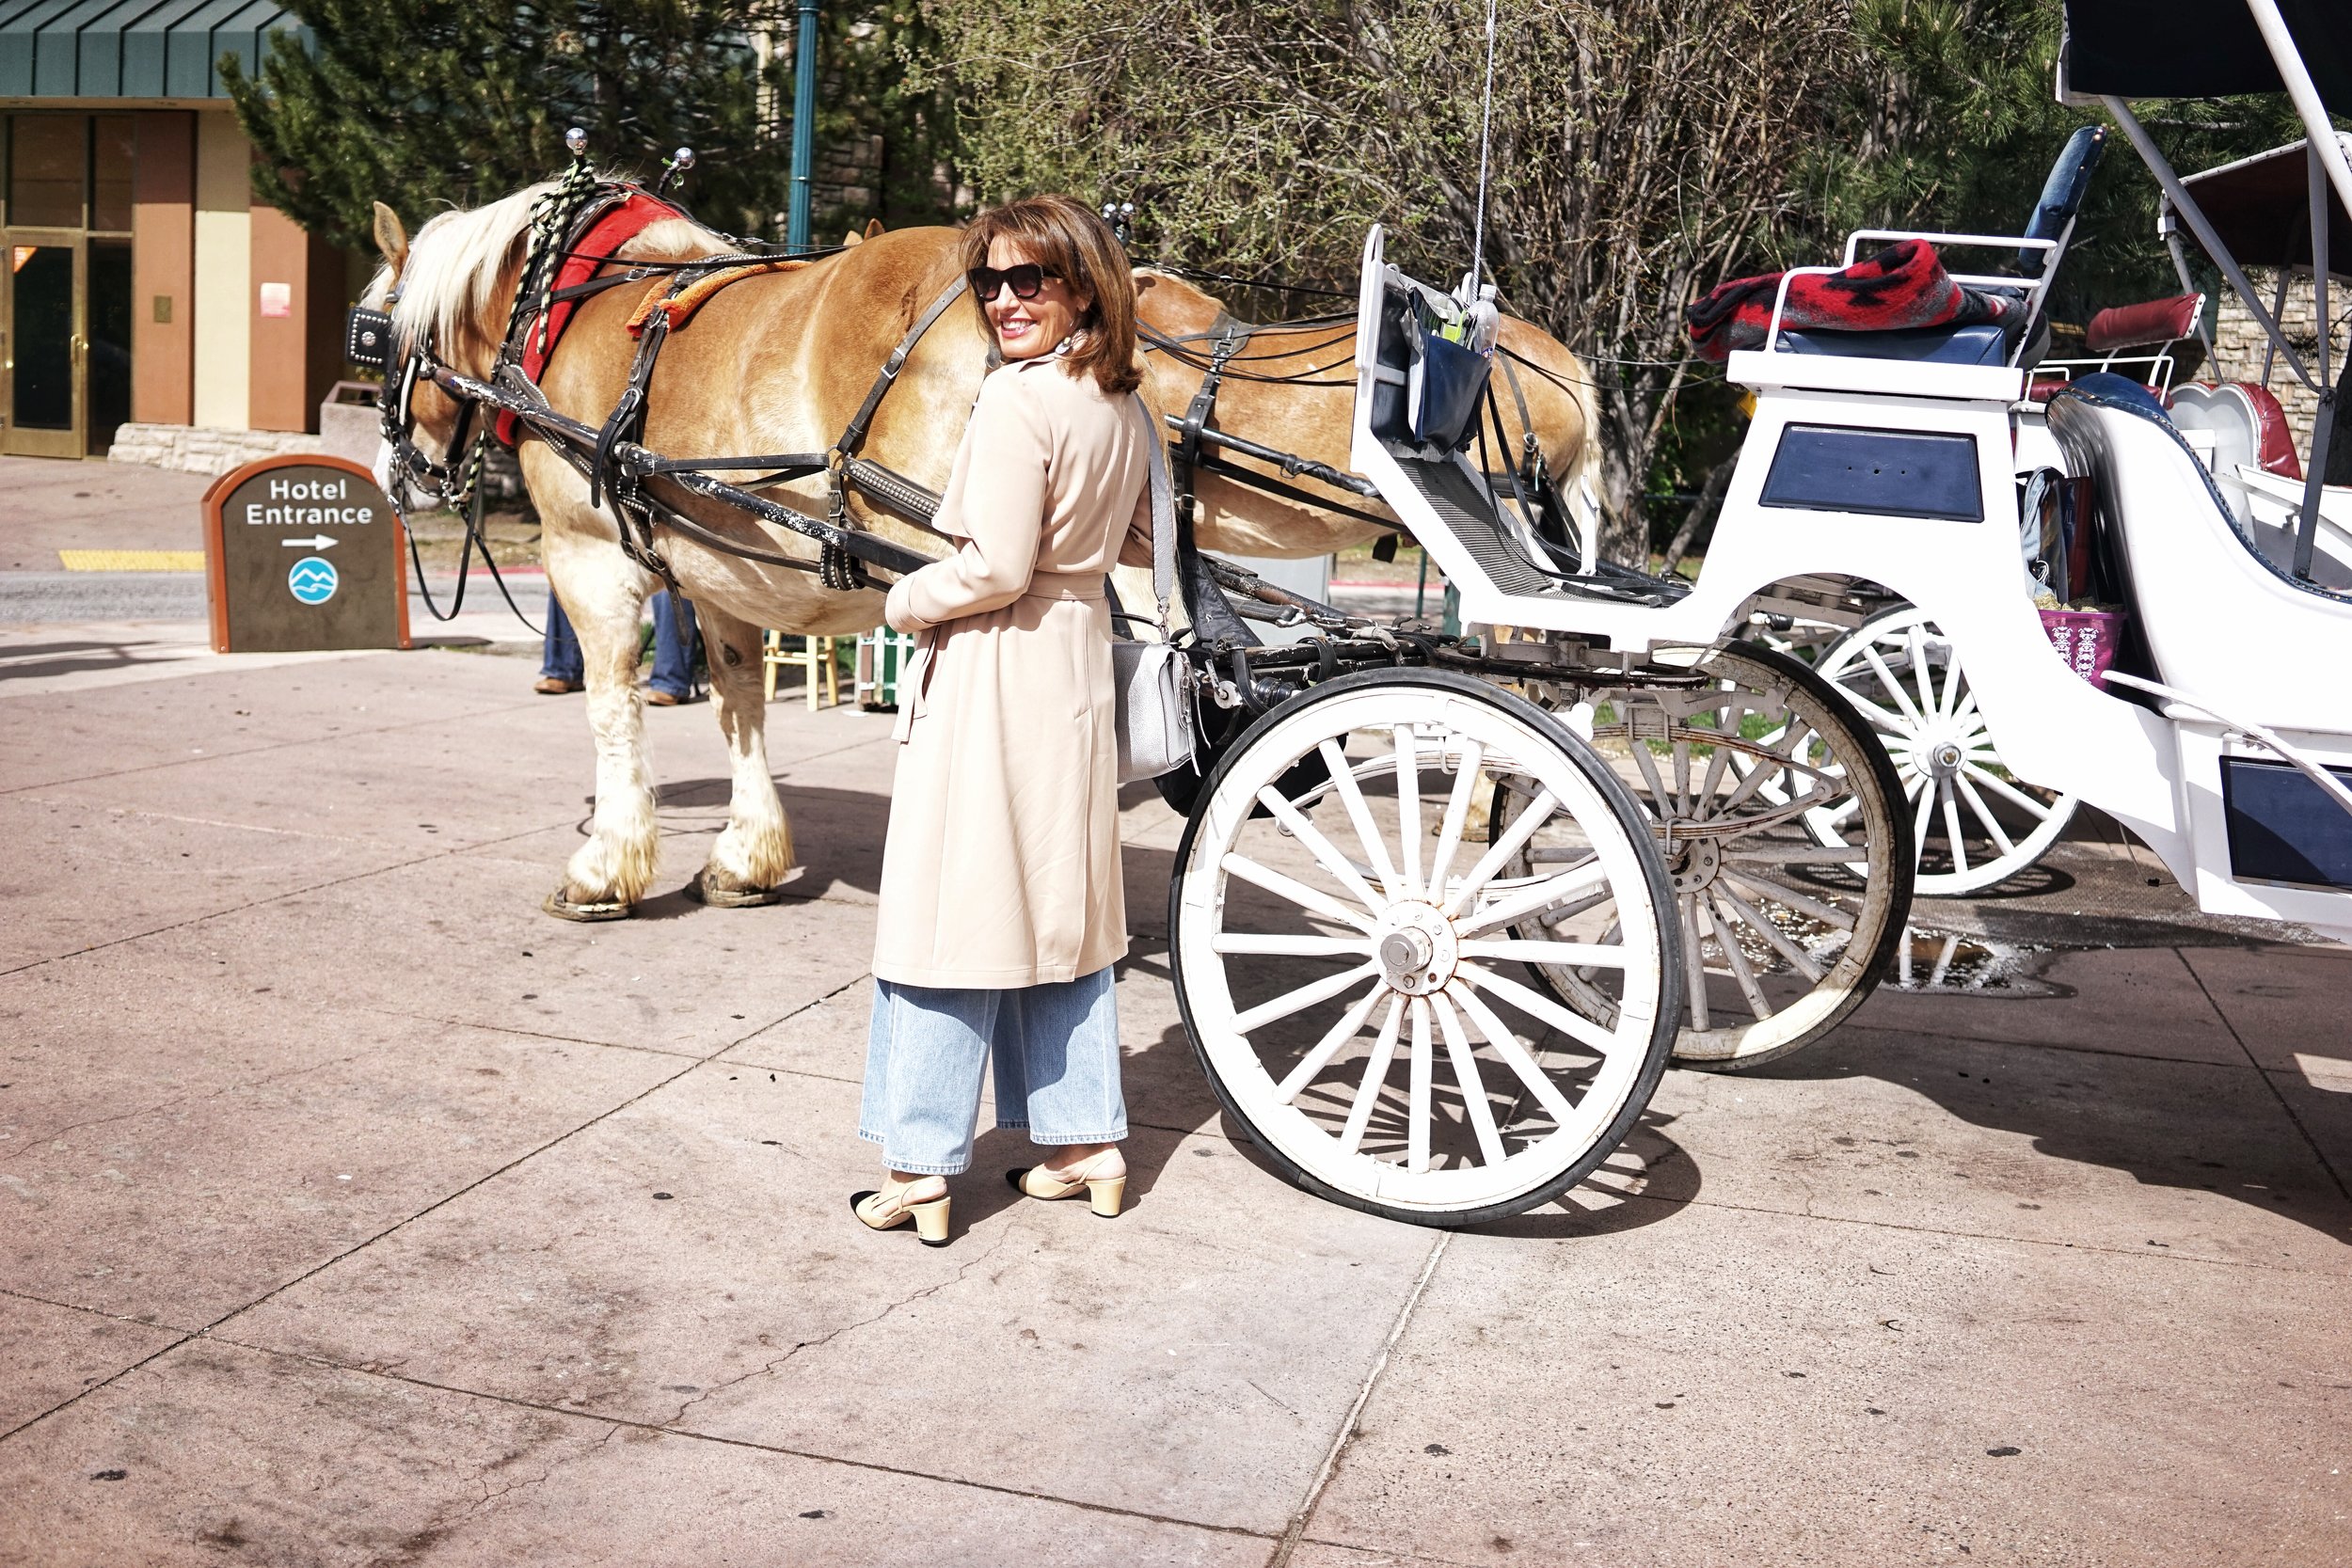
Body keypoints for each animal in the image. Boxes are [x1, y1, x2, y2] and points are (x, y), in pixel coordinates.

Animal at [367, 184, 1609, 921]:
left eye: (372, 336)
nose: (399, 473)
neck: (578, 305)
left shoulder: (594, 554)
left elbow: (616, 706)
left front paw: (608, 864)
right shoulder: (717, 562)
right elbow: (739, 704)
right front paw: (745, 853)